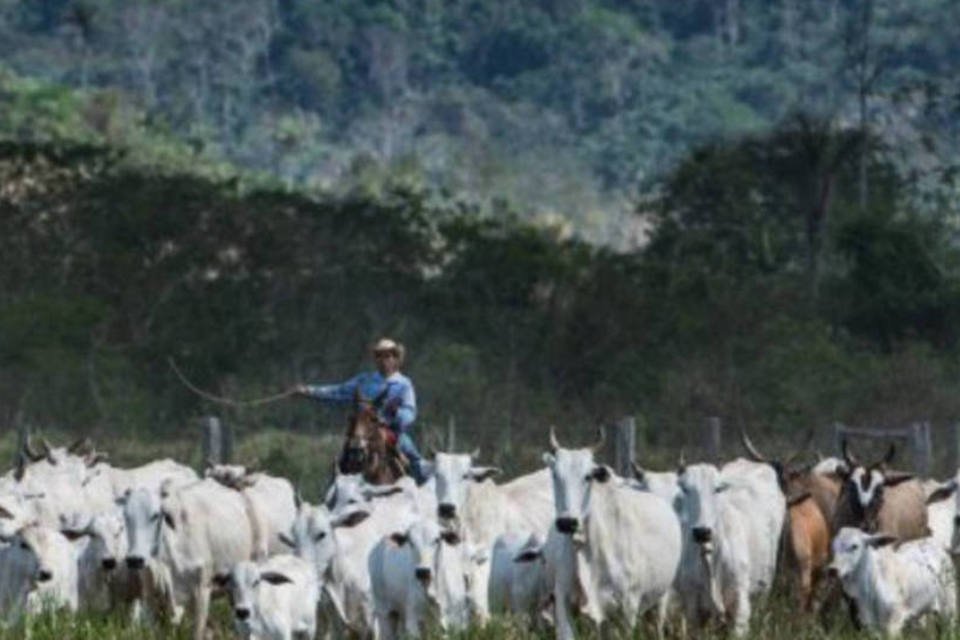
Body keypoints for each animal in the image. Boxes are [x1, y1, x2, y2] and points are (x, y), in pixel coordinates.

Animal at [540, 430, 684, 640]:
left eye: (588, 476)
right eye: (554, 474)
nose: (567, 522)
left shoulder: (628, 607)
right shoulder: (563, 601)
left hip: (659, 600)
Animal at [828, 528, 956, 636]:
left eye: (854, 546)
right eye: (833, 547)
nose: (833, 570)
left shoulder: (894, 622)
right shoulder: (870, 625)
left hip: (948, 608)